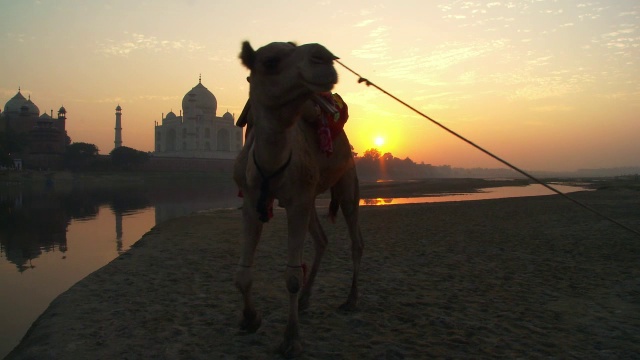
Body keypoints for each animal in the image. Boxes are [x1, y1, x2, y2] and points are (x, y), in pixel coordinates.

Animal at [234, 40, 364, 356]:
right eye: (270, 61)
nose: (323, 56)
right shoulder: (252, 200)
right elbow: (243, 273)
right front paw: (249, 319)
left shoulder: (297, 201)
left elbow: (292, 275)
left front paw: (291, 339)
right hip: (310, 194)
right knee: (322, 238)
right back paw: (305, 300)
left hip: (347, 178)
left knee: (355, 239)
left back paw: (350, 300)